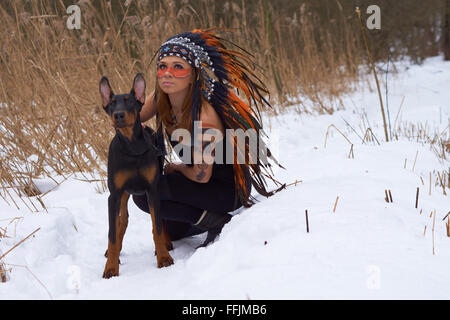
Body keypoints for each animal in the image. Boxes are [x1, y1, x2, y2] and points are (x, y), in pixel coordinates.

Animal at [99, 72, 173, 278]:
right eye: (112, 104)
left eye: (130, 101)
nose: (118, 115)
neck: (132, 147)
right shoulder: (114, 195)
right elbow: (112, 233)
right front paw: (110, 267)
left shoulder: (152, 189)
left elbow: (157, 225)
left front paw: (163, 257)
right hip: (123, 194)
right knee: (122, 220)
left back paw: (167, 243)